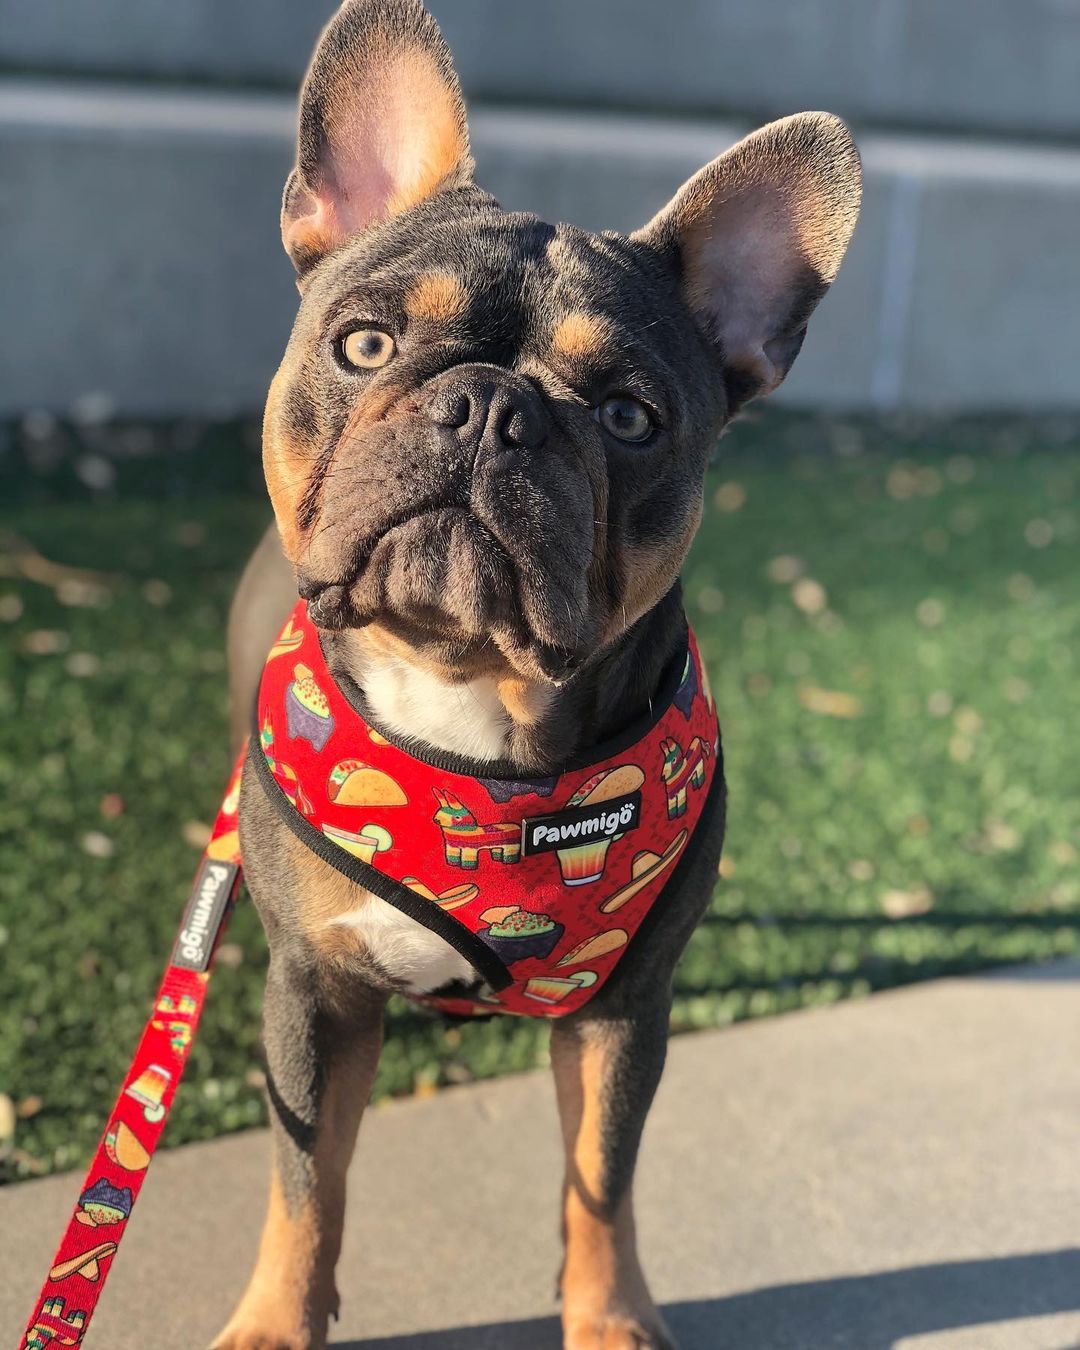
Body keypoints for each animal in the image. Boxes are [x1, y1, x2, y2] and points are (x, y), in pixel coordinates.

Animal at [217, 5, 858, 1344]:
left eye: (629, 418)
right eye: (365, 343)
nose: (488, 406)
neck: (468, 700)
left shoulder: (626, 1015)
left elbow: (601, 1181)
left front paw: (609, 1318)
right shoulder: (314, 996)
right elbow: (306, 1180)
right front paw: (275, 1323)